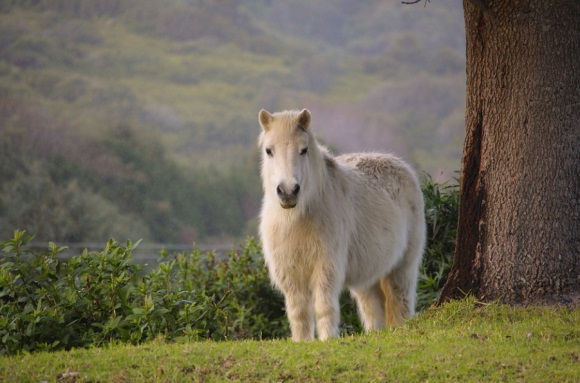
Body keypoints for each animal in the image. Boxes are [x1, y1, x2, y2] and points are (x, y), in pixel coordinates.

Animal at [260, 109, 426, 342]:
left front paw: (327, 339)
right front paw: (302, 342)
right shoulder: (290, 273)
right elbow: (298, 312)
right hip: (368, 277)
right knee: (373, 308)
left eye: (304, 150)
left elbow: (323, 307)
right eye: (269, 151)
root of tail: (402, 167)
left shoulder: (326, 267)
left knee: (400, 301)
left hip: (402, 268)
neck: (296, 219)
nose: (288, 191)